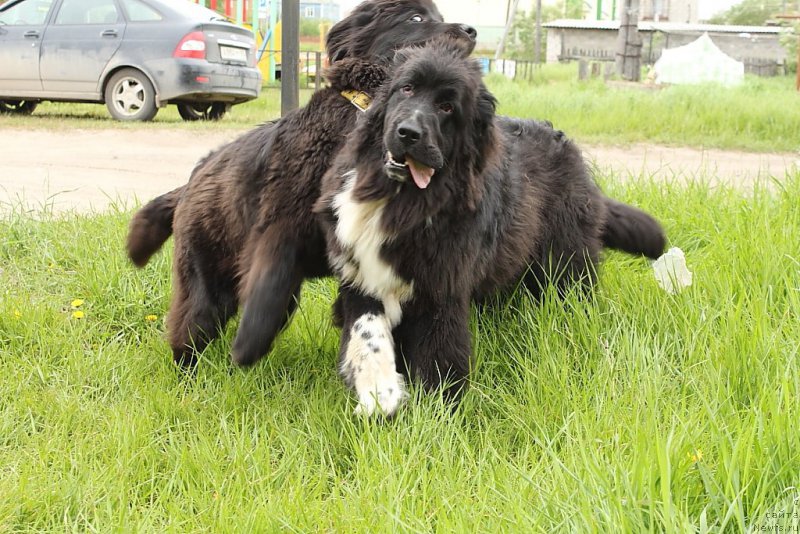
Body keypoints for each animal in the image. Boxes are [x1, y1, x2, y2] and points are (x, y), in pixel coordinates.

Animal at [312, 42, 664, 418]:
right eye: (406, 89)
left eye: (447, 107)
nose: (408, 132)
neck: (399, 199)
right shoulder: (360, 273)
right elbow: (368, 332)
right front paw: (380, 391)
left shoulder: (442, 289)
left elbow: (440, 351)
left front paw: (439, 411)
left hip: (564, 258)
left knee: (573, 291)